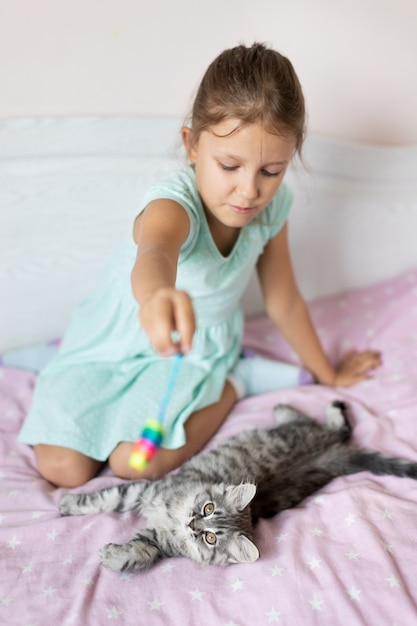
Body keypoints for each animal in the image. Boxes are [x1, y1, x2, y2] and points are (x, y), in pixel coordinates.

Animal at [58, 400, 416, 572]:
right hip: (299, 433)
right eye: (208, 508)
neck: (173, 520)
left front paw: (112, 556)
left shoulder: (157, 538)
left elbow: (141, 552)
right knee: (336, 427)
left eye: (210, 537)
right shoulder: (145, 492)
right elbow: (102, 498)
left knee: (338, 427)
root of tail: (332, 454)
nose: (192, 523)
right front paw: (67, 504)